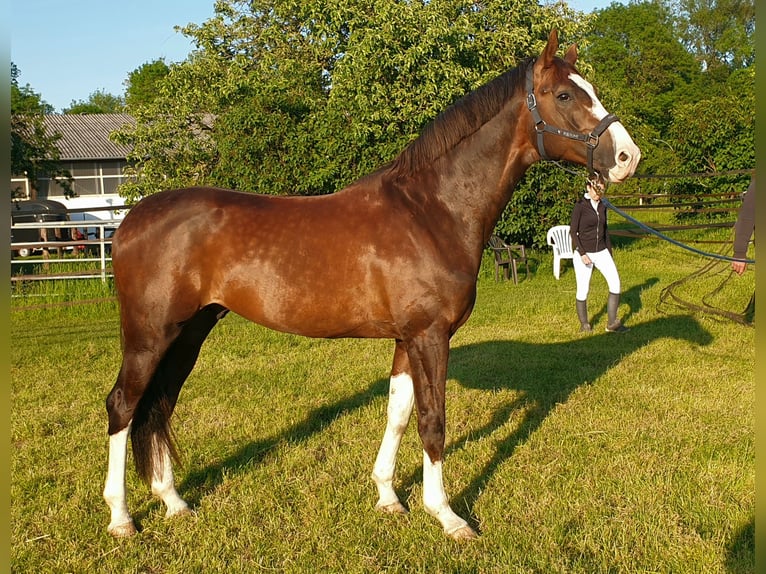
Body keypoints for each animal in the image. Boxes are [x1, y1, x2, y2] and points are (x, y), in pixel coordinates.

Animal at [103, 29, 640, 544]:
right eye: (565, 94)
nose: (627, 156)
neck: (431, 210)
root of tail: (130, 221)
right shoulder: (430, 337)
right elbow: (433, 422)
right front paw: (447, 516)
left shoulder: (407, 338)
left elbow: (398, 414)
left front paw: (388, 497)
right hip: (151, 336)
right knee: (124, 405)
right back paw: (122, 518)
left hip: (189, 333)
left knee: (159, 405)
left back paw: (174, 502)